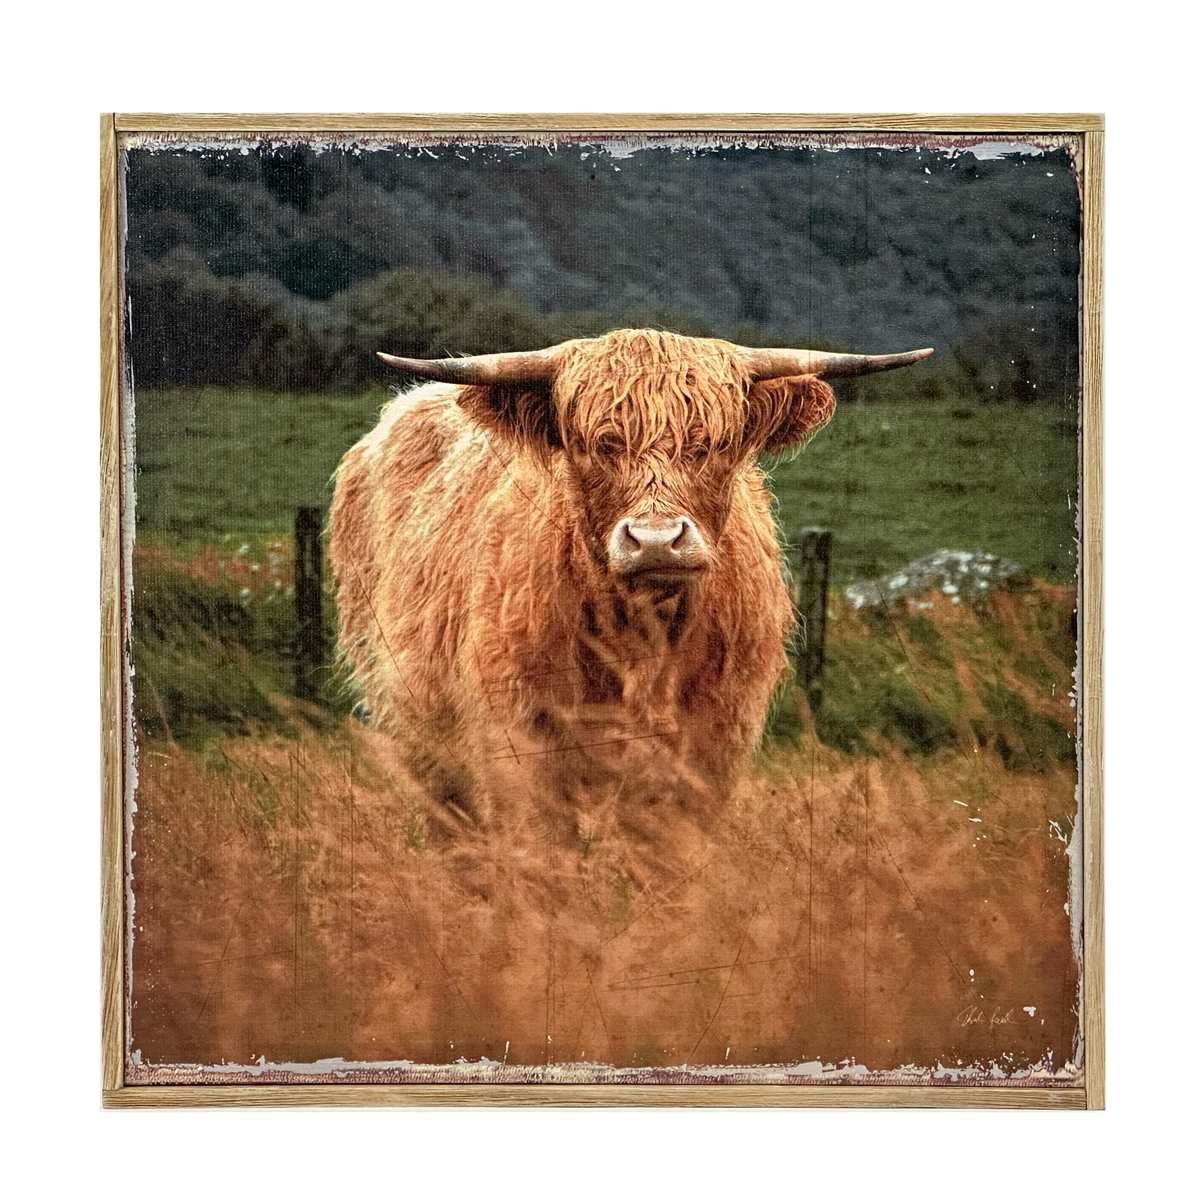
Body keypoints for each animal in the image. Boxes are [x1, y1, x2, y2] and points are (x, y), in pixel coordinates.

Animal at [329, 328, 931, 838]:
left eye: (710, 445)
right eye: (597, 445)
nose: (656, 540)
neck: (642, 640)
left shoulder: (707, 756)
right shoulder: (521, 753)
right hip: (419, 737)